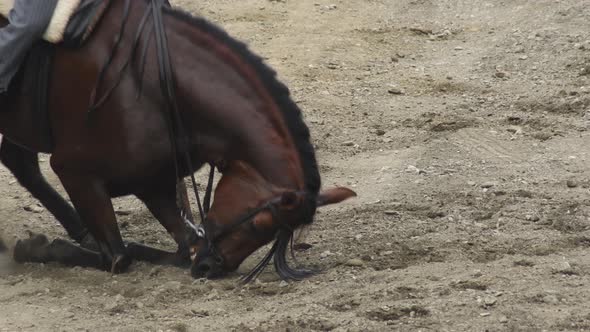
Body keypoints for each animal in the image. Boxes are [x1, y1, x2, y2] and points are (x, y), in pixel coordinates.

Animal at [0, 0, 356, 278]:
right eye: (260, 224)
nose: (213, 268)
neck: (147, 81)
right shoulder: (76, 172)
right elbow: (119, 257)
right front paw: (37, 248)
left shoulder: (151, 181)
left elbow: (185, 246)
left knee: (19, 162)